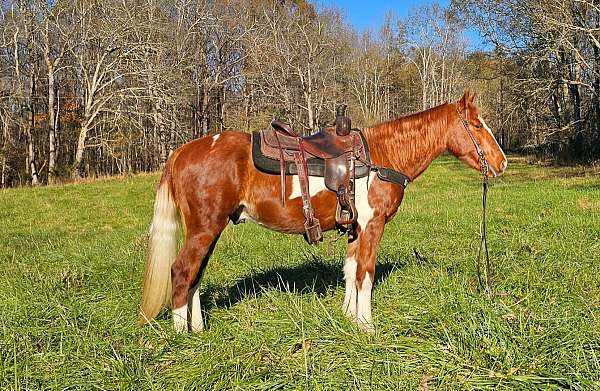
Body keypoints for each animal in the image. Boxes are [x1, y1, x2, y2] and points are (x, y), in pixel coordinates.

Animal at [139, 91, 506, 334]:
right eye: (477, 125)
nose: (501, 163)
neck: (381, 156)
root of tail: (182, 151)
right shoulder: (372, 226)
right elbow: (366, 273)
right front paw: (367, 326)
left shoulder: (356, 228)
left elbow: (350, 270)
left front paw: (349, 317)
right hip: (205, 229)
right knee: (181, 271)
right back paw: (184, 336)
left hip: (209, 230)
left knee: (195, 274)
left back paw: (199, 328)